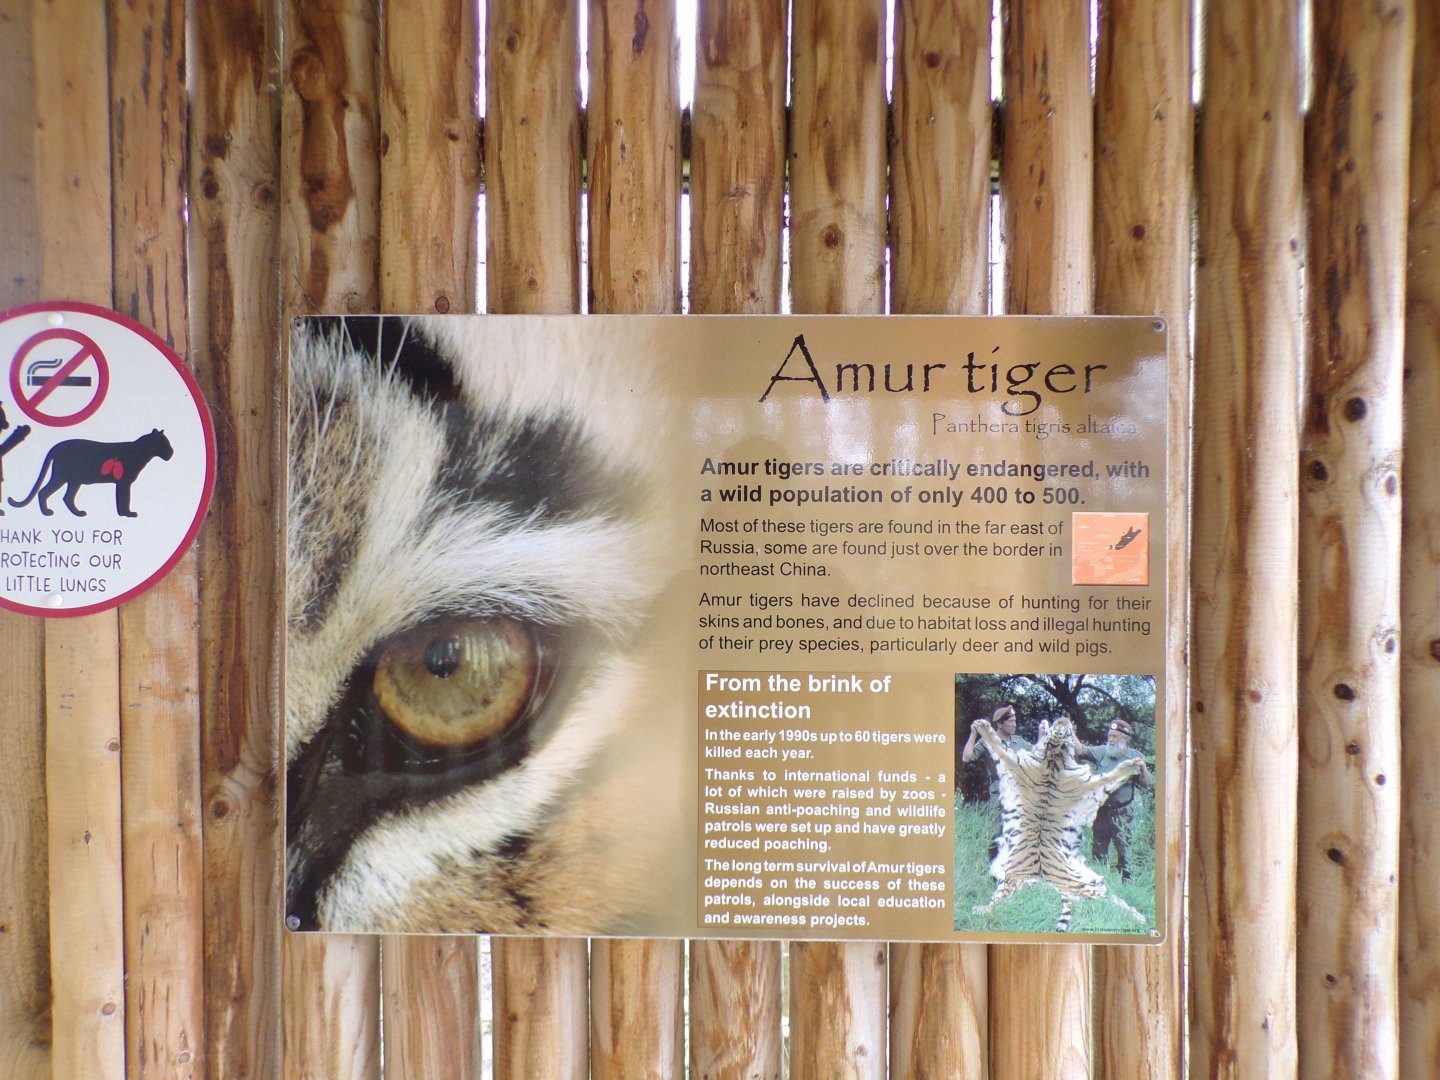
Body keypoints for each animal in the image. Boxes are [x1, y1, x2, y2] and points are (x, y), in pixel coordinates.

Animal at [969, 715, 1146, 932]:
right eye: (1063, 728)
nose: (1063, 718)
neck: (1053, 757)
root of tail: (1050, 885)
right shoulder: (1016, 765)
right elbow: (997, 745)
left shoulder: (1015, 765)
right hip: (1088, 885)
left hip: (1085, 885)